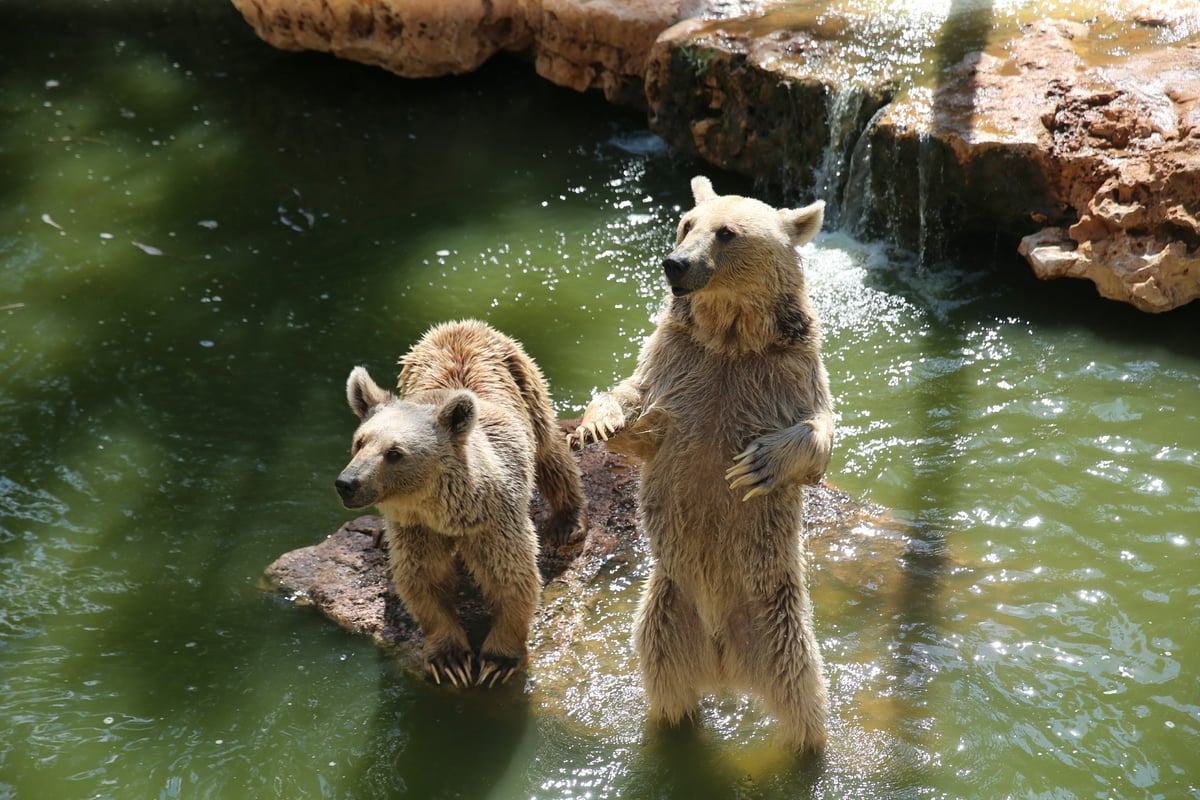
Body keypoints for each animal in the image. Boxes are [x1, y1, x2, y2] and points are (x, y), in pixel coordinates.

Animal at [336, 319, 583, 690]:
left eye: (394, 452)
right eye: (359, 442)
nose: (347, 484)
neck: (446, 511)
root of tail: (462, 324)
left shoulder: (494, 519)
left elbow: (511, 576)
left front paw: (498, 660)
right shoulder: (416, 528)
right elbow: (421, 580)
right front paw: (450, 658)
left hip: (526, 383)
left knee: (550, 449)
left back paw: (569, 521)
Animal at [571, 175, 835, 753]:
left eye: (727, 232)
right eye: (686, 223)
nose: (675, 264)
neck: (730, 337)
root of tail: (724, 664)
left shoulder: (791, 369)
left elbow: (819, 432)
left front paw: (757, 464)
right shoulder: (676, 362)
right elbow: (632, 400)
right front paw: (596, 424)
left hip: (780, 627)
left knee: (804, 701)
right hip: (665, 618)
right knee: (667, 688)